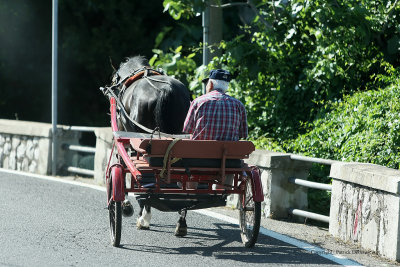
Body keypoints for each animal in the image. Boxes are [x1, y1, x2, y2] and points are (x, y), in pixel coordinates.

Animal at [109, 56, 191, 237]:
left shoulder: (125, 140)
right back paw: (181, 222)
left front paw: (126, 205)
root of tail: (166, 90)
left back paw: (144, 218)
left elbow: (124, 166)